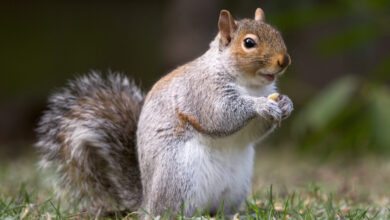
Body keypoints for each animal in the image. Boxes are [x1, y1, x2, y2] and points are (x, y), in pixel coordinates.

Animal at [35, 7, 292, 217]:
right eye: (249, 43)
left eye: (277, 33)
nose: (285, 60)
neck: (251, 86)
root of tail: (146, 203)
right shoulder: (202, 91)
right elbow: (221, 114)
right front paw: (260, 106)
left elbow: (252, 132)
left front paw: (286, 103)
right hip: (178, 176)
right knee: (170, 211)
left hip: (236, 185)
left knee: (219, 209)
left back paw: (232, 215)